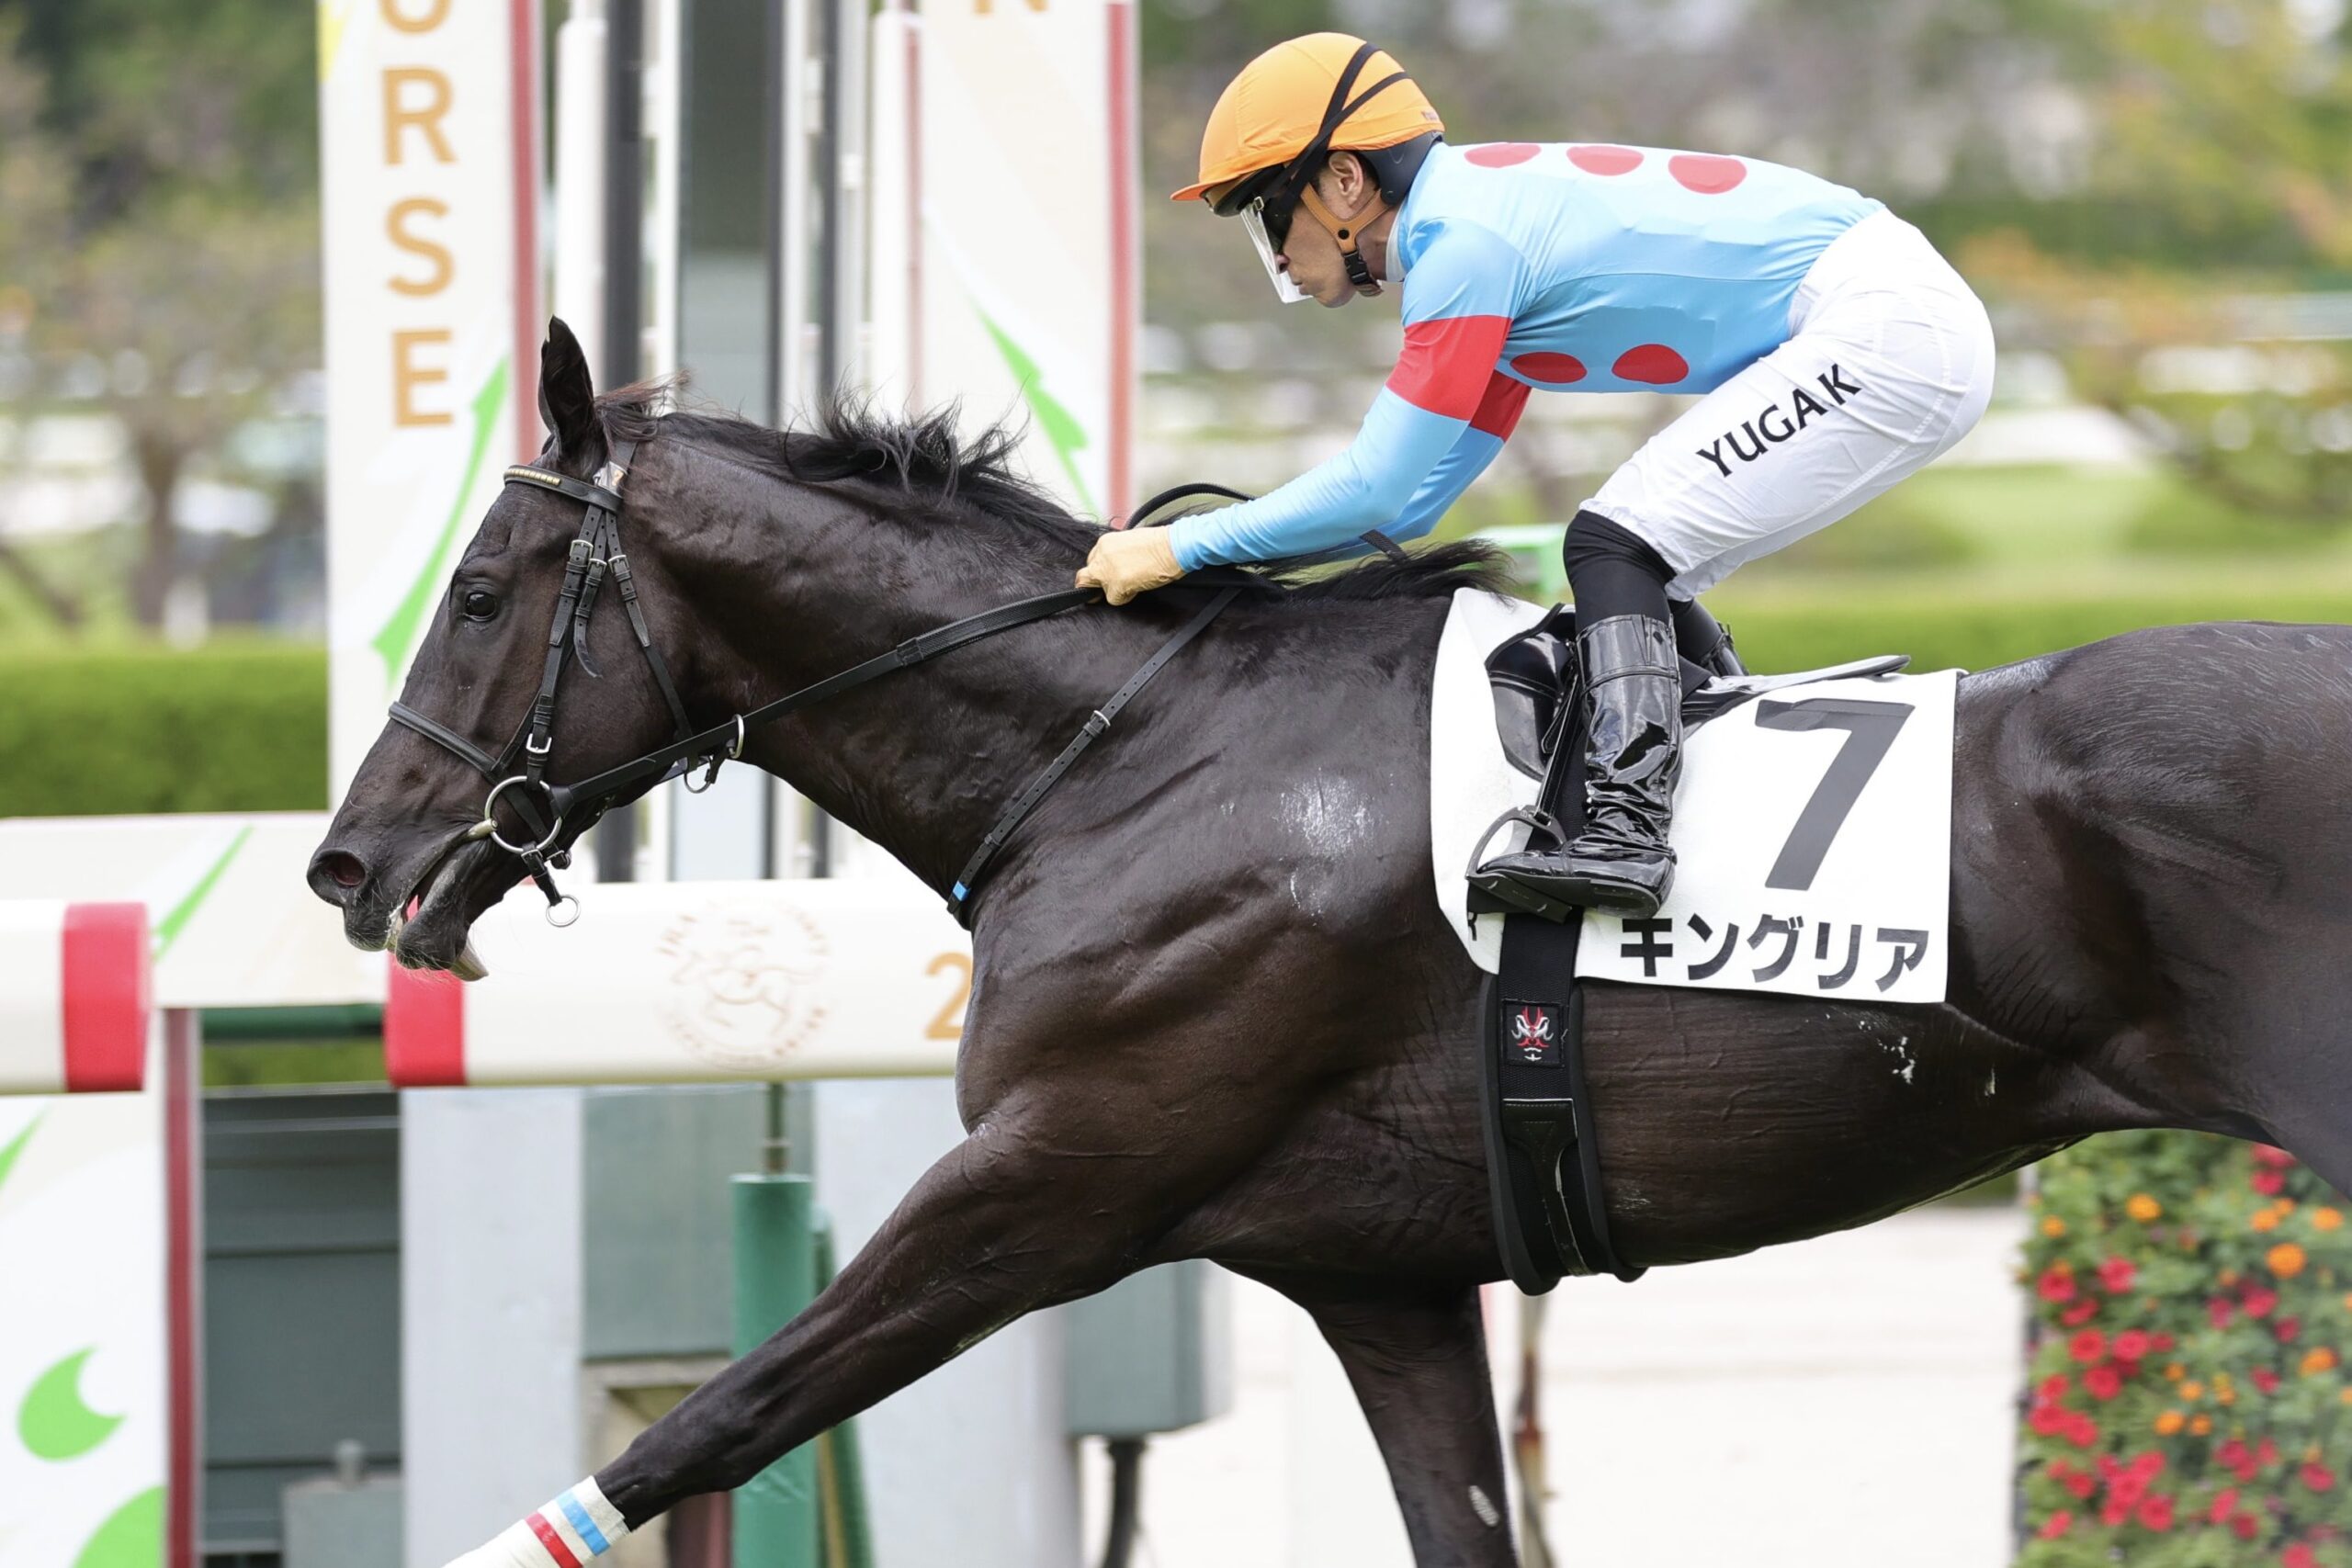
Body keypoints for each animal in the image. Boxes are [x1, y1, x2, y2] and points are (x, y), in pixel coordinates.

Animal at [309, 321, 2352, 1565]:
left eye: (477, 594)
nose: (347, 860)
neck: (1124, 755)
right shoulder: (1379, 1273)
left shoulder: (1050, 1178)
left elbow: (710, 1421)